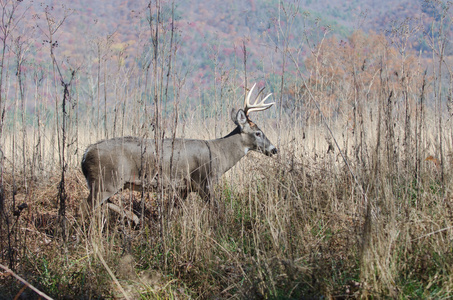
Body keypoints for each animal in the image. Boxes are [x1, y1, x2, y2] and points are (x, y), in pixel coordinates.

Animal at [83, 83, 278, 224]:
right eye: (258, 132)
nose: (274, 149)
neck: (220, 153)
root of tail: (85, 154)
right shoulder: (204, 181)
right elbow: (217, 209)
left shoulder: (185, 187)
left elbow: (172, 211)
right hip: (106, 180)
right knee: (88, 205)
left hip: (107, 182)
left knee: (102, 203)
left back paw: (134, 218)